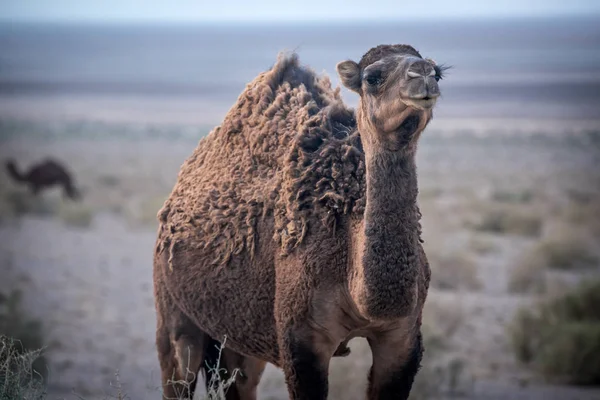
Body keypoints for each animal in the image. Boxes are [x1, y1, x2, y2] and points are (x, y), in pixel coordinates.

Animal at [155, 44, 446, 400]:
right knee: (178, 369)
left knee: (238, 379)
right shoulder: (301, 338)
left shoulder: (403, 338)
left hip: (242, 335)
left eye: (438, 72)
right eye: (372, 77)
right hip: (172, 307)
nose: (423, 76)